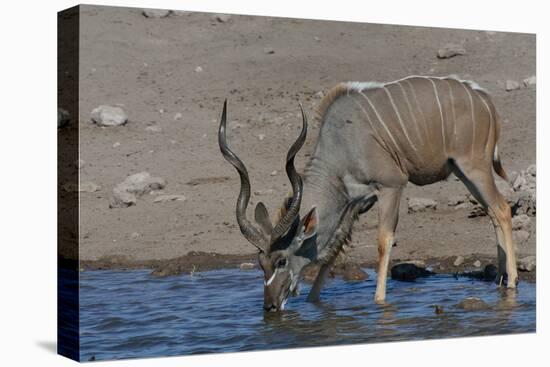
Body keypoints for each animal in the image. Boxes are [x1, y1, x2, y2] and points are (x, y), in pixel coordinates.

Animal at [219, 76, 516, 312]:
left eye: (281, 260)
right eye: (260, 263)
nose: (270, 306)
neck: (342, 144)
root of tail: (482, 98)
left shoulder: (391, 186)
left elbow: (384, 241)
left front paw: (379, 301)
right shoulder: (354, 204)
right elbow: (334, 250)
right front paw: (314, 301)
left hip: (474, 167)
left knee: (502, 208)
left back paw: (511, 283)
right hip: (462, 171)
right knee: (492, 212)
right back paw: (500, 280)